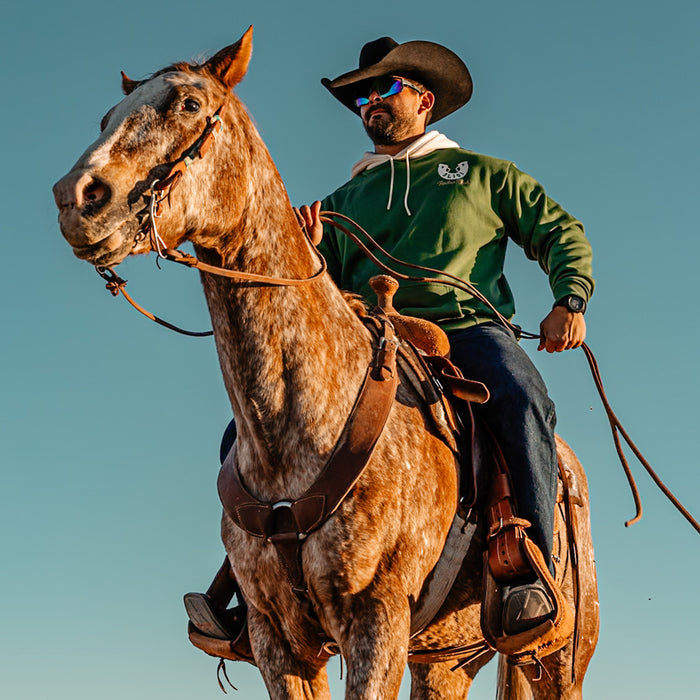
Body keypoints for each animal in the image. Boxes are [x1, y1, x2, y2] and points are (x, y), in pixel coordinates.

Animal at [53, 27, 599, 699]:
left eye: (187, 103)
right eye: (108, 117)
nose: (76, 197)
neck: (302, 419)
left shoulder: (376, 620)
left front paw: (566, 315)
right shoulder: (277, 637)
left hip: (558, 659)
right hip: (446, 659)